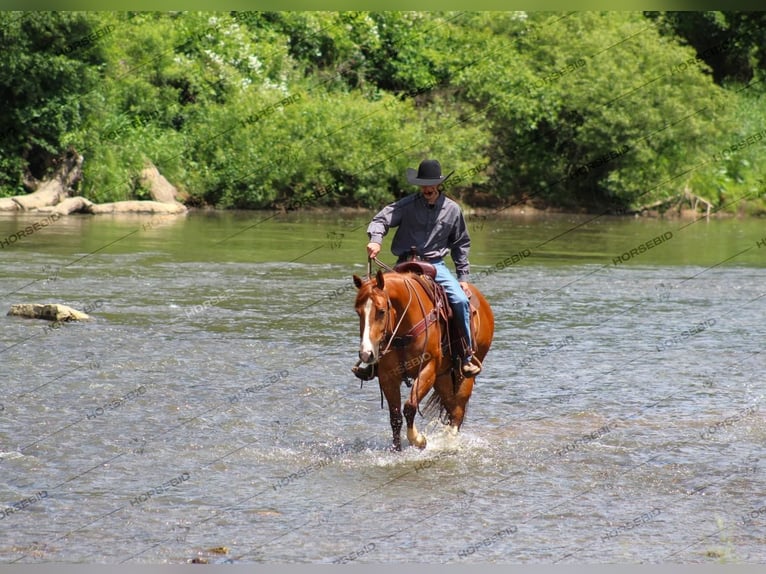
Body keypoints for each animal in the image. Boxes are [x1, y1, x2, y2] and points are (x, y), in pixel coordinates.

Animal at [352, 268, 496, 452]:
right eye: (358, 312)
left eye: (381, 311)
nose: (366, 354)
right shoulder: (387, 376)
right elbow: (395, 416)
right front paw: (396, 449)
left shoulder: (427, 369)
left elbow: (410, 407)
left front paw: (418, 440)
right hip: (443, 378)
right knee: (451, 407)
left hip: (464, 375)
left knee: (457, 412)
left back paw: (449, 442)